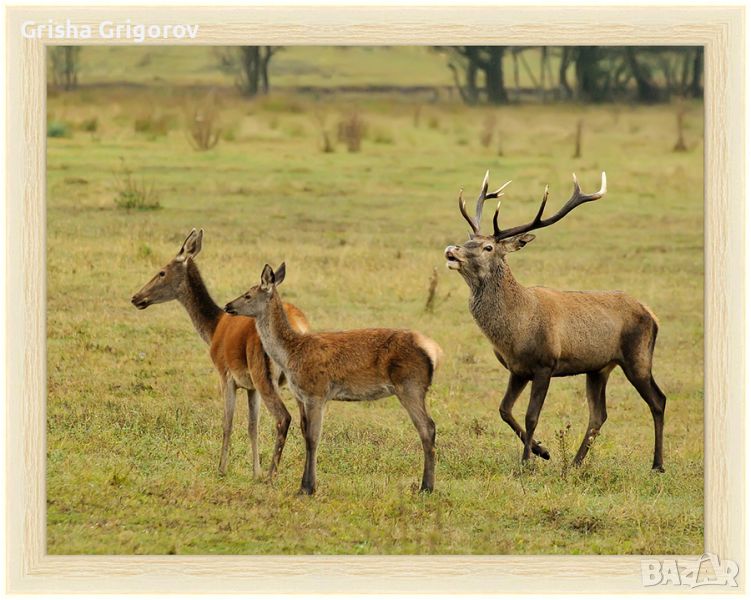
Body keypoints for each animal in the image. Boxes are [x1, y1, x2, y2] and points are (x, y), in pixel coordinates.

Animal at [131, 230, 310, 478]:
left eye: (162, 271)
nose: (136, 298)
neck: (214, 328)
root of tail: (299, 328)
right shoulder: (250, 387)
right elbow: (252, 426)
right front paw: (255, 471)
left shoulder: (226, 375)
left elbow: (228, 422)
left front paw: (222, 468)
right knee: (306, 423)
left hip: (265, 377)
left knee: (283, 417)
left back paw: (271, 476)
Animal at [226, 264, 444, 494]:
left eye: (248, 295)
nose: (228, 306)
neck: (290, 354)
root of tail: (435, 352)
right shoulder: (302, 396)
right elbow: (306, 434)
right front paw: (306, 486)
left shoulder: (316, 392)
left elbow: (313, 438)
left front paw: (307, 488)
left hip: (410, 386)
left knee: (427, 427)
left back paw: (426, 487)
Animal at [444, 171, 668, 472]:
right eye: (468, 239)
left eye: (488, 246)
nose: (451, 250)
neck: (515, 329)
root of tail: (651, 313)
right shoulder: (517, 369)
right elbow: (504, 410)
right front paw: (543, 451)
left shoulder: (545, 363)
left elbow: (531, 416)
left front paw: (527, 463)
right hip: (599, 367)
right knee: (599, 415)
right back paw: (574, 463)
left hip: (638, 356)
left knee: (658, 400)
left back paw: (657, 464)